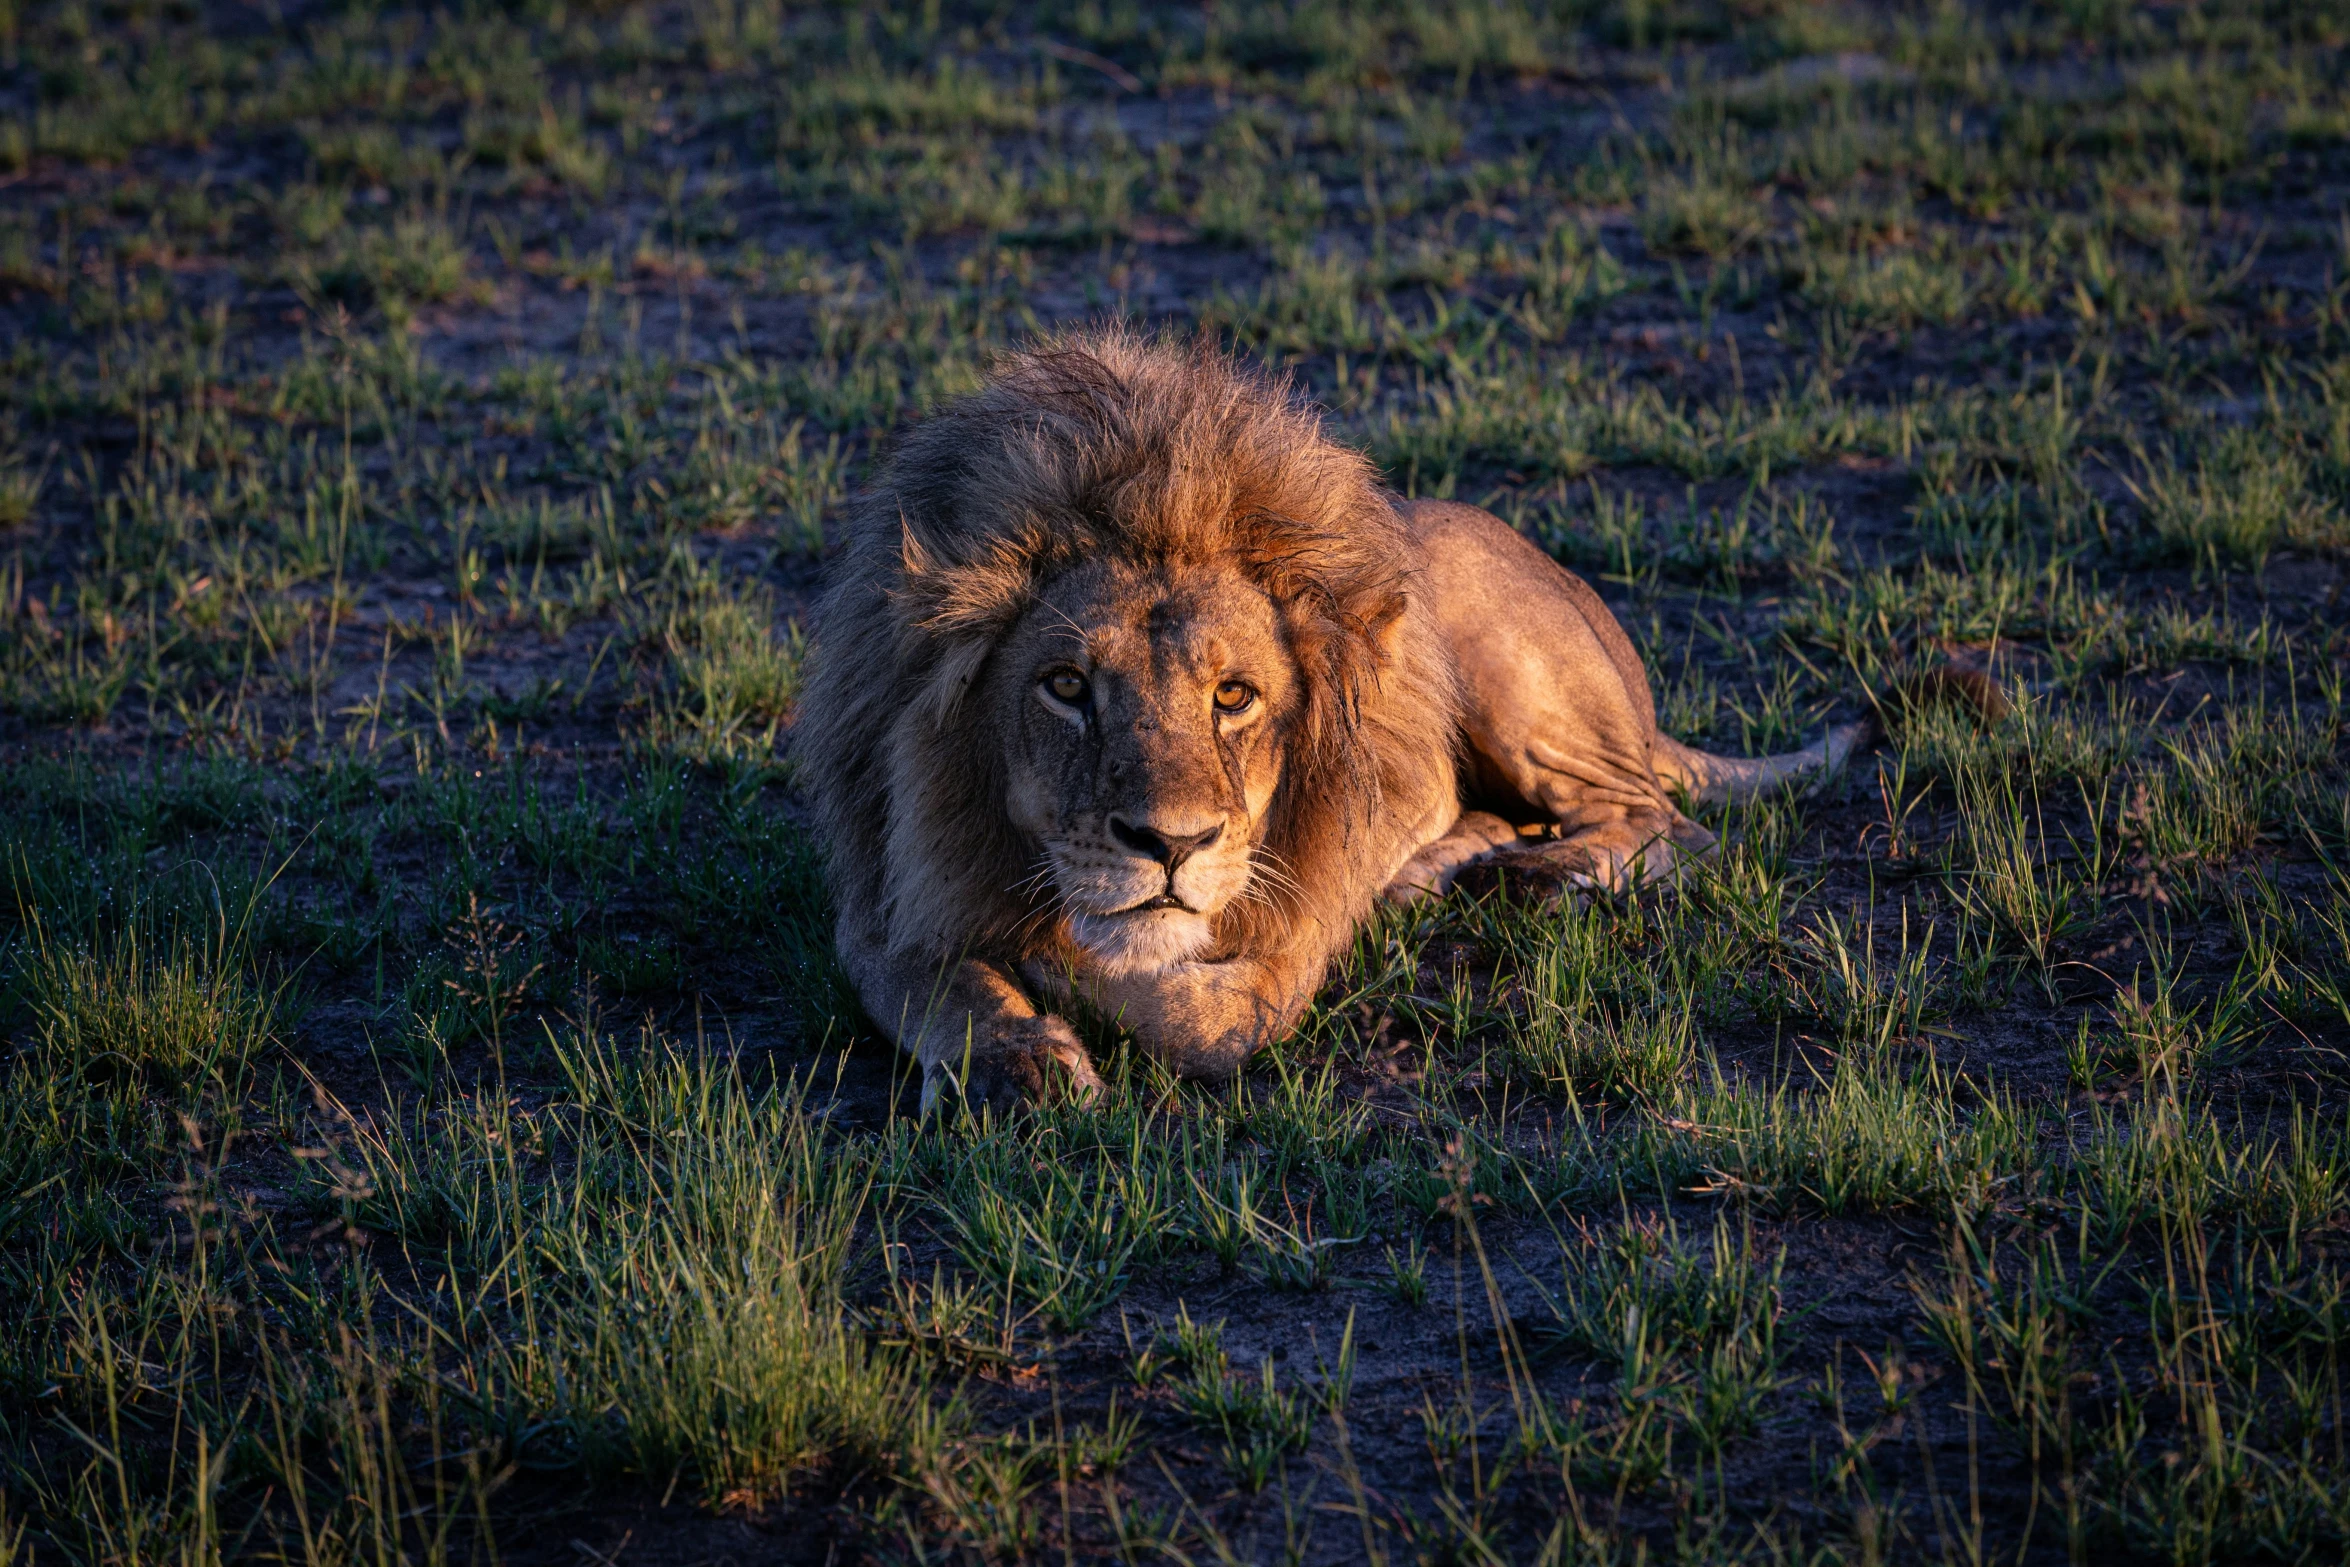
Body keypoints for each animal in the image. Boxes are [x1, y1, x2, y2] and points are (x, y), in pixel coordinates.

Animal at [794, 331, 1983, 1108]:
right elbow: (939, 983)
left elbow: (1193, 1016)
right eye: (1066, 687)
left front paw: (1069, 974)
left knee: (1664, 819)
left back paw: (1531, 875)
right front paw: (1021, 1055)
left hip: (1505, 667)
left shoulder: (1283, 933)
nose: (1171, 845)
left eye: (1234, 696)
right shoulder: (884, 893)